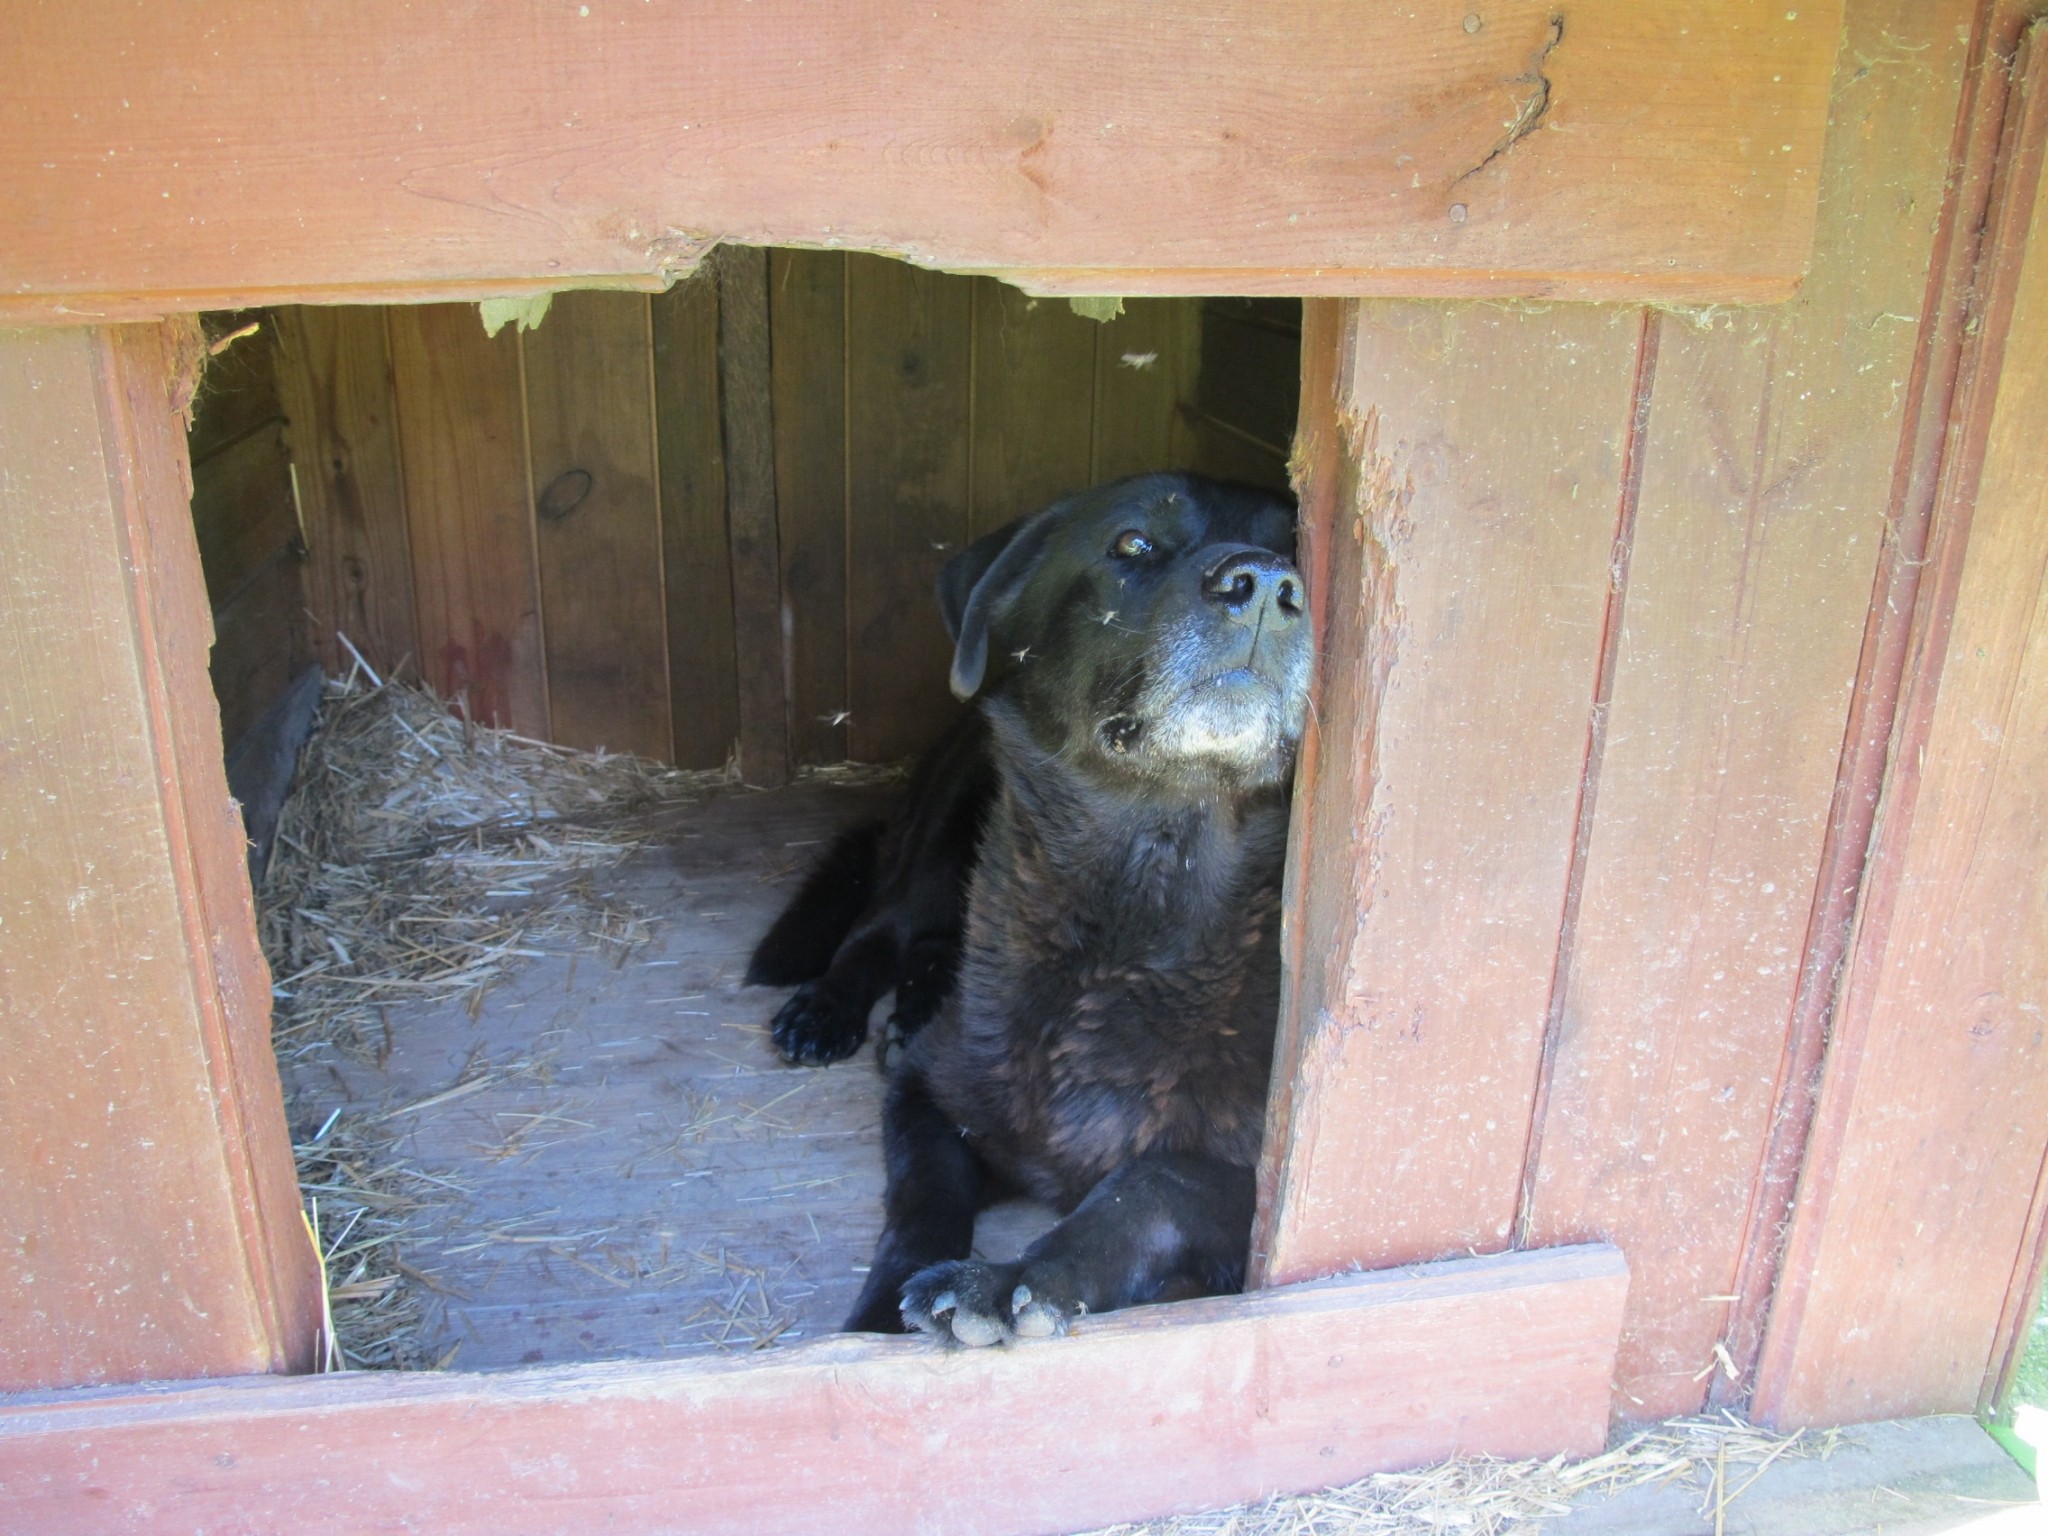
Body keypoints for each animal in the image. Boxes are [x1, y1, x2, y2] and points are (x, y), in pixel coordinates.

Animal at [745, 468, 1302, 1343]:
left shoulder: (1263, 1188)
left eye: (1303, 551)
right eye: (1132, 543)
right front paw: (880, 1320)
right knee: (880, 928)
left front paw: (1014, 1280)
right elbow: (923, 1204)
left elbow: (1150, 1185)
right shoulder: (930, 1098)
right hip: (943, 832)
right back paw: (829, 1010)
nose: (1267, 587)